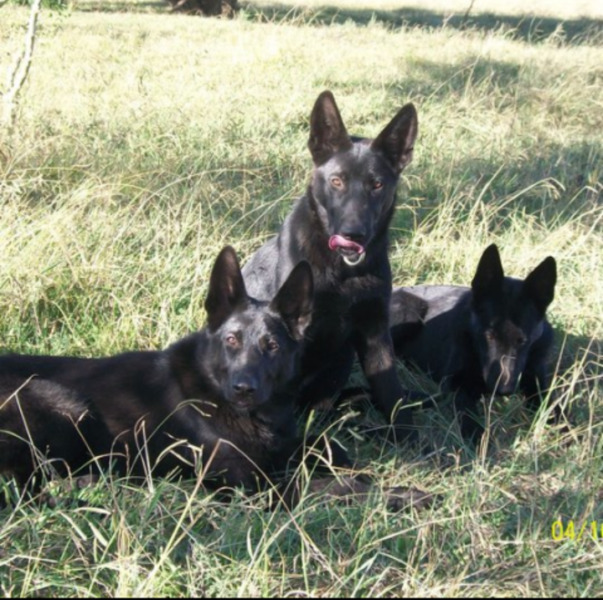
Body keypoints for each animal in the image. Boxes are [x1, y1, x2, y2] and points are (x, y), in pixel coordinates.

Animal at [242, 91, 424, 442]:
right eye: (337, 181)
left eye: (377, 185)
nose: (353, 235)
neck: (344, 273)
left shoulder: (375, 333)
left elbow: (391, 391)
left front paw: (411, 439)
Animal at [390, 241, 560, 442]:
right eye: (489, 336)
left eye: (523, 340)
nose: (503, 391)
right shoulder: (457, 384)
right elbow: (469, 414)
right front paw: (478, 439)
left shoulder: (536, 378)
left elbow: (552, 407)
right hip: (410, 310)